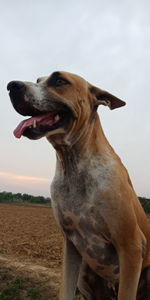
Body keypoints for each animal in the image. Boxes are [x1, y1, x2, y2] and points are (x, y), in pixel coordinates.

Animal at [7, 71, 150, 298]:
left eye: (59, 80)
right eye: (38, 81)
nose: (11, 86)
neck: (73, 164)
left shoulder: (131, 246)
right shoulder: (70, 244)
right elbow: (65, 290)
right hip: (85, 275)